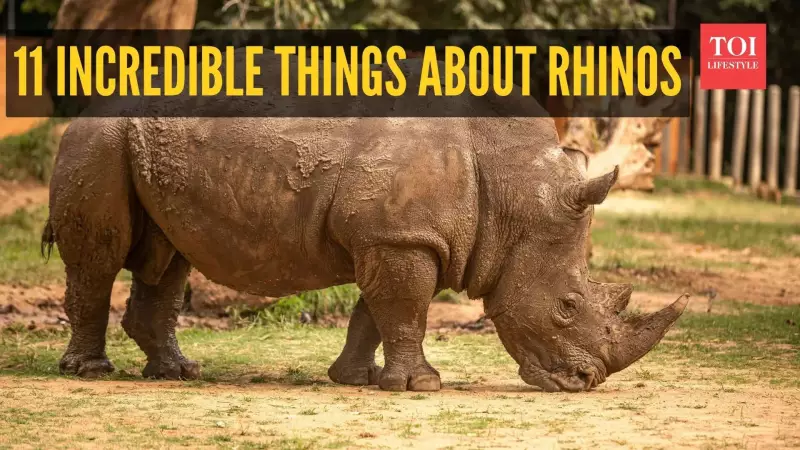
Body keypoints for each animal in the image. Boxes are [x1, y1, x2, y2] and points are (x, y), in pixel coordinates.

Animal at [43, 98, 688, 392]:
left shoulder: (395, 236)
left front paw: (357, 379)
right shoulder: (399, 237)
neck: (517, 194)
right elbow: (405, 310)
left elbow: (375, 313)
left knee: (169, 257)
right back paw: (90, 372)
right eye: (567, 307)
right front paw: (421, 386)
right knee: (100, 259)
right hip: (96, 138)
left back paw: (178, 373)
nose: (586, 382)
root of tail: (87, 108)